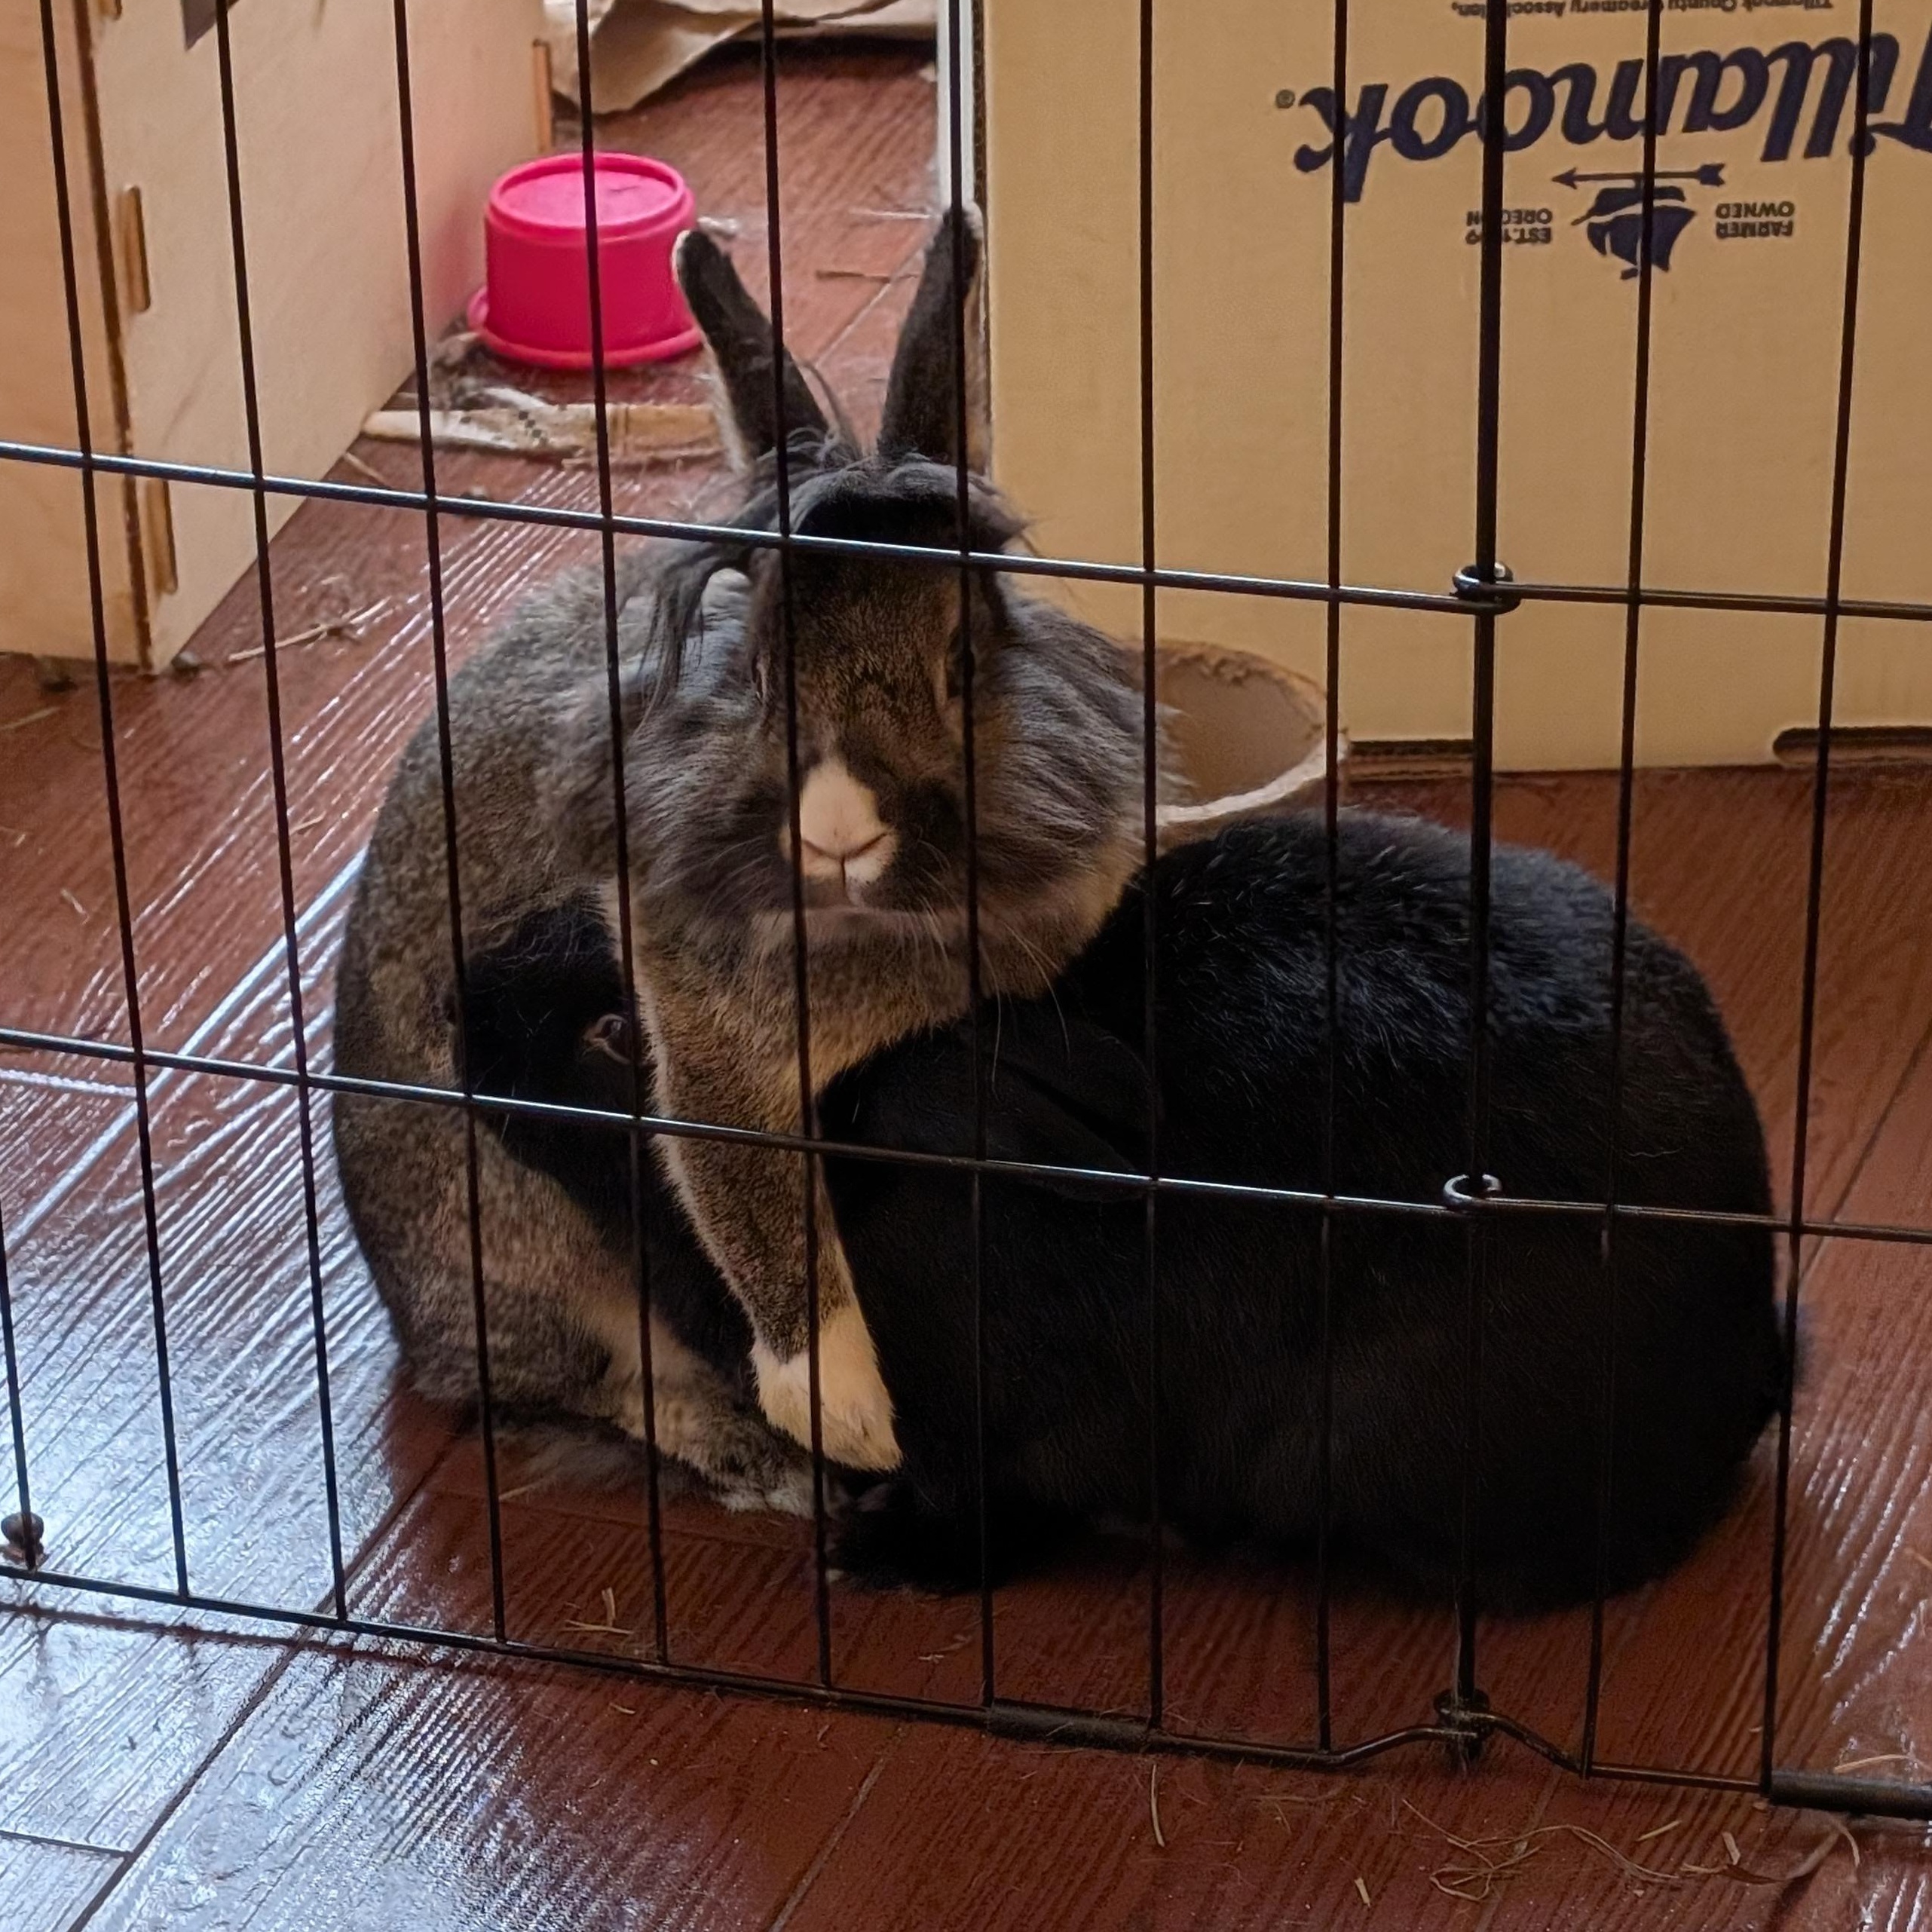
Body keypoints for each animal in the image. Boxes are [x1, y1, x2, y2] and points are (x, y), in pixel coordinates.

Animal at [540, 209, 1156, 1474]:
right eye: (761, 669)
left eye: (962, 664)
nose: (834, 830)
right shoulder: (707, 1049)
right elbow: (753, 1198)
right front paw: (851, 1419)